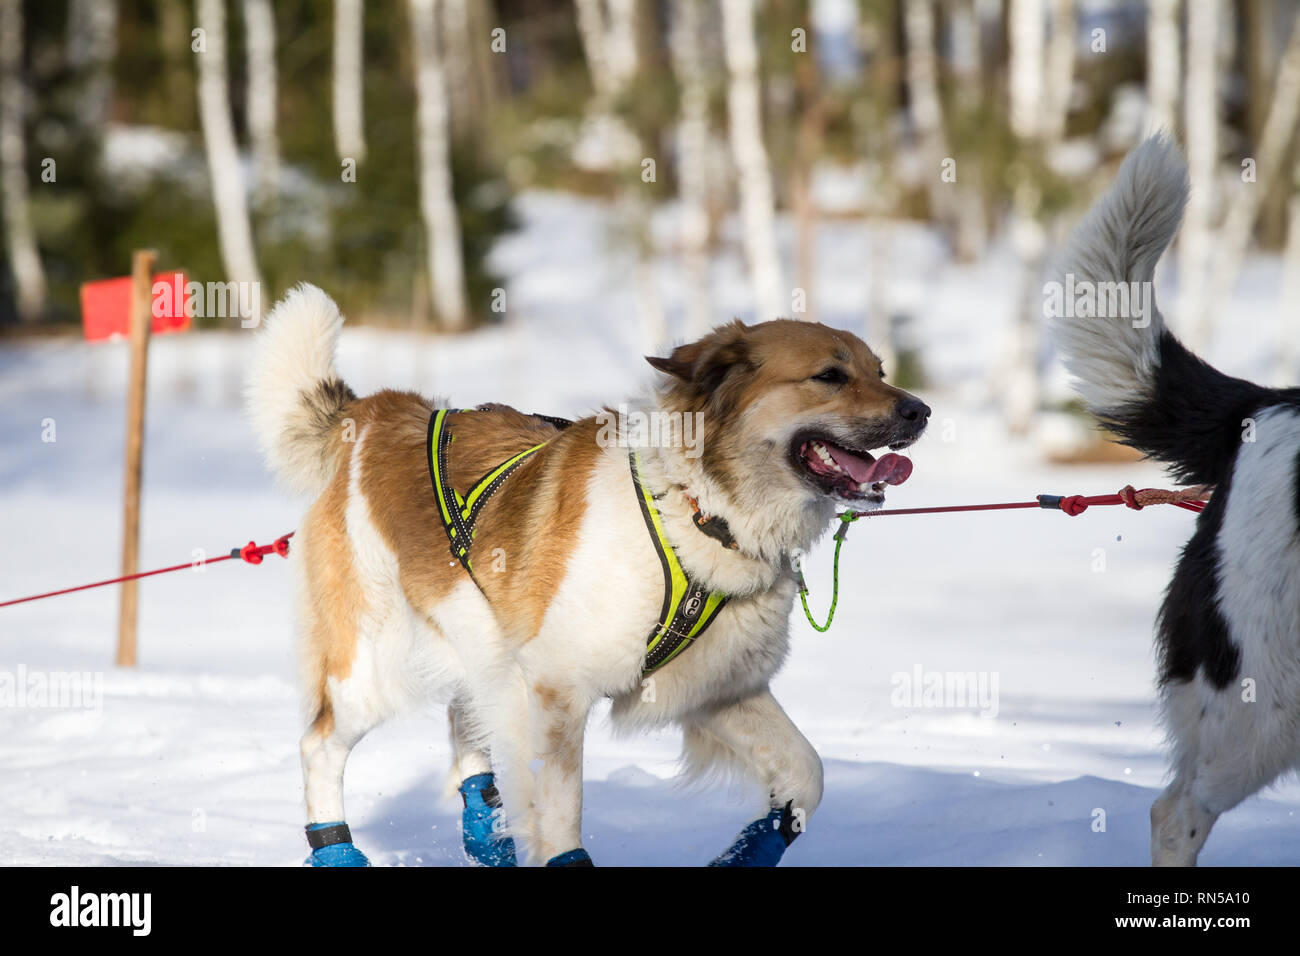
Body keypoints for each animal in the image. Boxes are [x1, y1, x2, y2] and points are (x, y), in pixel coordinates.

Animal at [245, 286, 935, 868]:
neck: (693, 509)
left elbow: (806, 777)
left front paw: (747, 853)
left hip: (479, 640)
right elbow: (561, 816)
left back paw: (485, 833)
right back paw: (337, 850)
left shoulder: (718, 688)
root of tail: (378, 412)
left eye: (879, 370)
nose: (922, 410)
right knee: (321, 746)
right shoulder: (555, 692)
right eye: (830, 376)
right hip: (373, 665)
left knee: (465, 725)